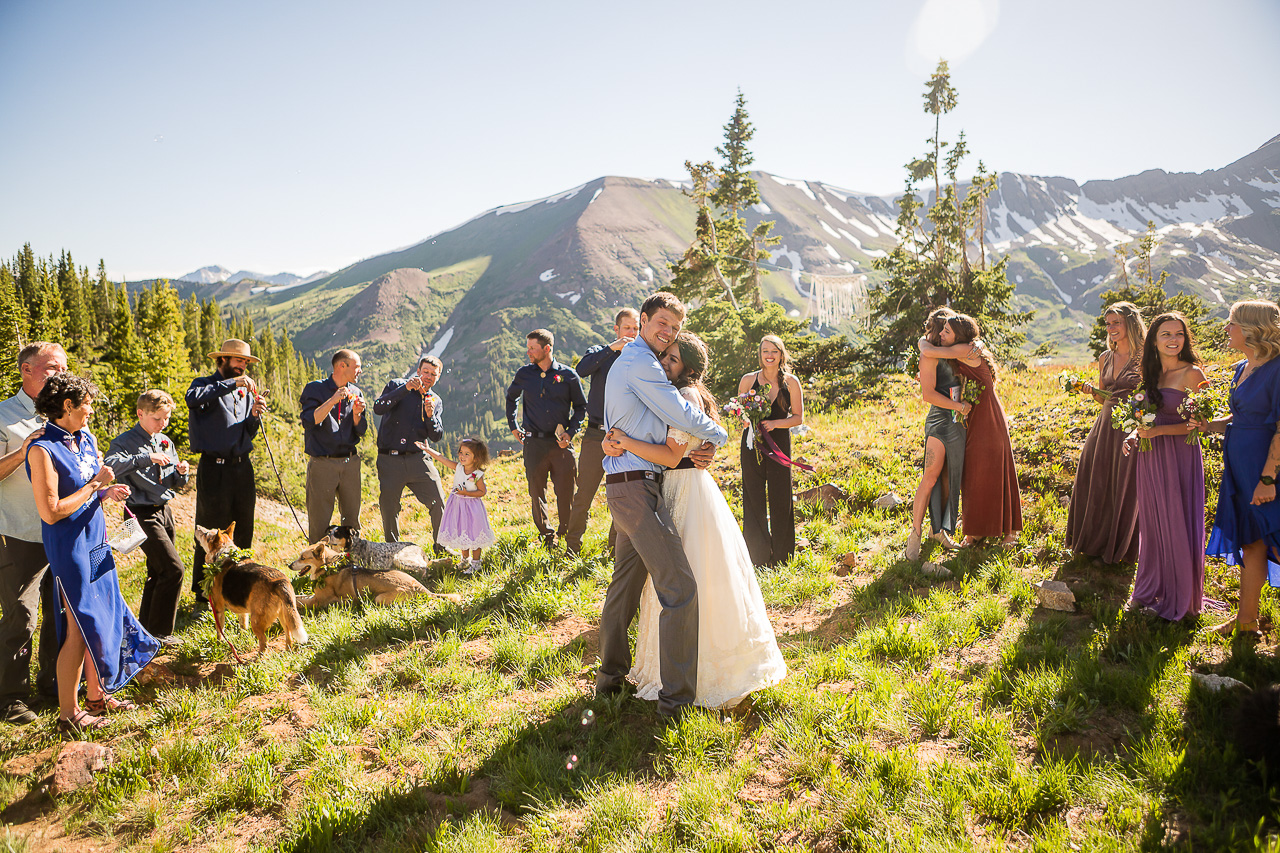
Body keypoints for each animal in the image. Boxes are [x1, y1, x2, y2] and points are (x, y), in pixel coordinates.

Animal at [190, 517, 308, 666]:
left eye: (206, 534)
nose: (197, 526)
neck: (224, 552)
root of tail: (279, 581)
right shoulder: (243, 611)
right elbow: (242, 625)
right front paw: (242, 637)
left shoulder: (218, 609)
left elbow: (219, 631)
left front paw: (218, 644)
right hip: (284, 615)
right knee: (289, 637)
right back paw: (287, 653)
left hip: (257, 621)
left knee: (264, 643)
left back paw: (255, 660)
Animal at [288, 540, 463, 607]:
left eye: (303, 558)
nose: (289, 565)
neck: (329, 567)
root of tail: (421, 589)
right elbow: (297, 597)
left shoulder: (318, 601)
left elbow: (300, 602)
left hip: (380, 598)